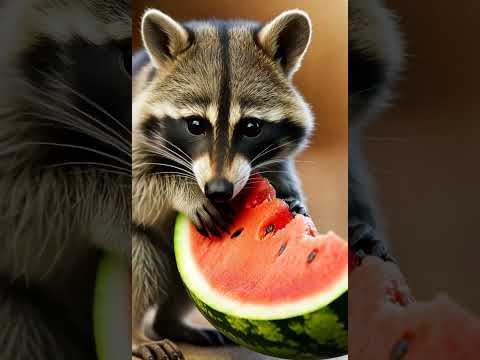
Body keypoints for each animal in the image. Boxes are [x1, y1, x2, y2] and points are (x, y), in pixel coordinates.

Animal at [133, 9, 316, 360]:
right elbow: (137, 186)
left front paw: (291, 198)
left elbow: (281, 173)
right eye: (195, 125)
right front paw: (184, 191)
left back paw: (170, 322)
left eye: (251, 127)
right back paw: (135, 332)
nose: (218, 191)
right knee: (142, 255)